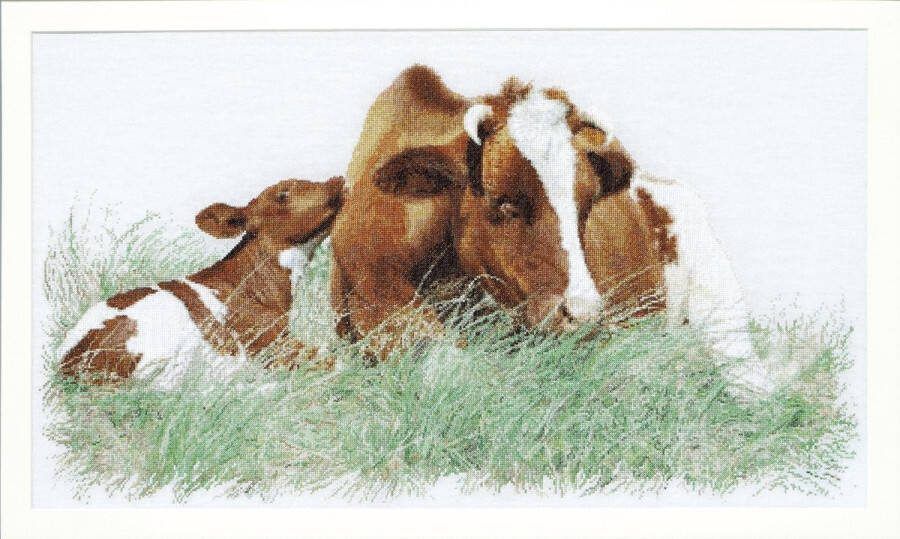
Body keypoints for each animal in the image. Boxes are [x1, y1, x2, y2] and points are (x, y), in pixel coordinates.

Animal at [331, 65, 773, 394]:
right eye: (504, 202)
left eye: (586, 206)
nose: (582, 313)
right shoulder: (369, 291)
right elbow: (449, 361)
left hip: (724, 315)